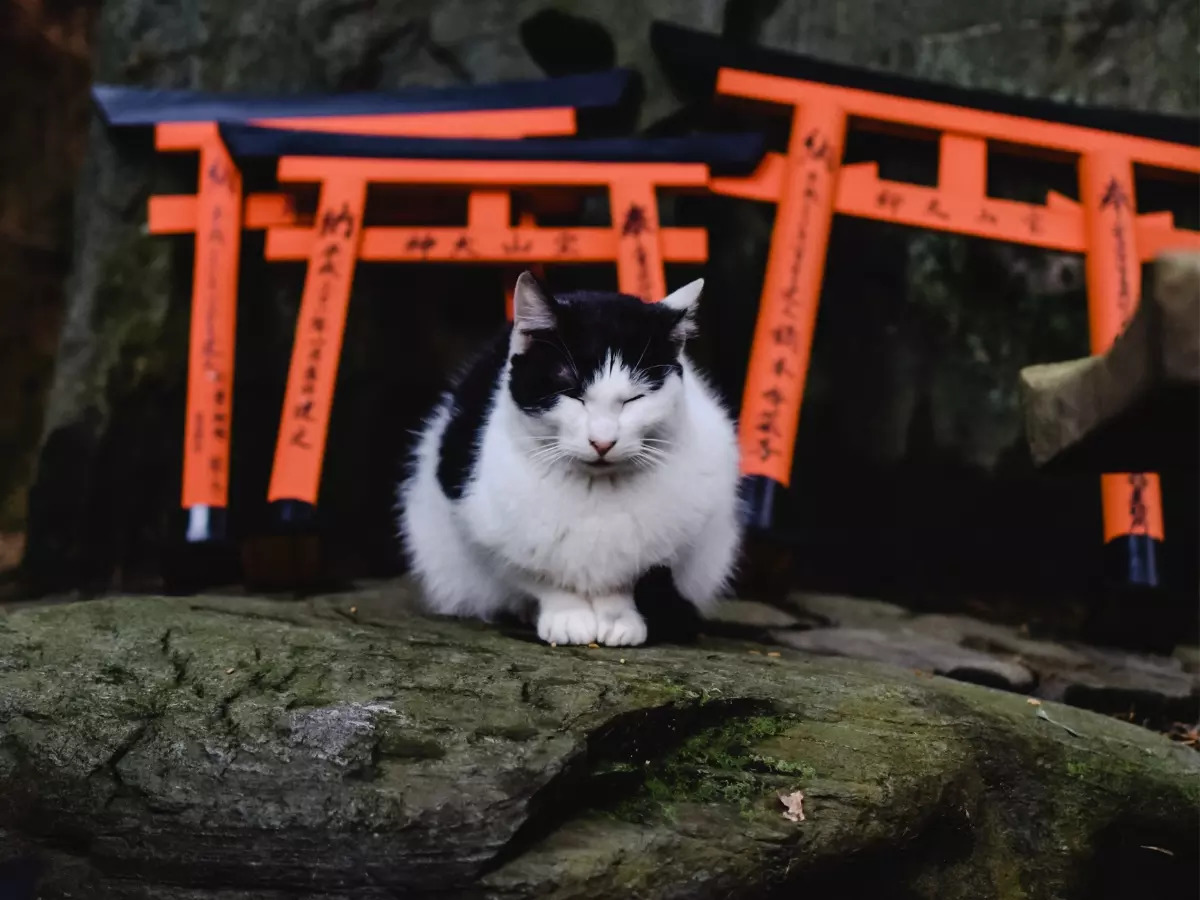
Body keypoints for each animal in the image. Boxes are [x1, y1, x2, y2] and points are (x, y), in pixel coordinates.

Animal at [400, 271, 739, 643]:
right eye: (573, 395)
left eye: (633, 399)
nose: (603, 441)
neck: (595, 490)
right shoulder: (480, 523)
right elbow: (539, 578)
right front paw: (568, 616)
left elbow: (624, 582)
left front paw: (619, 619)